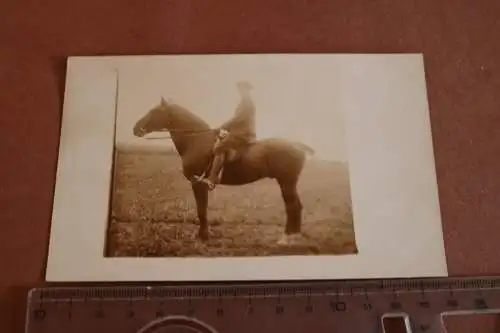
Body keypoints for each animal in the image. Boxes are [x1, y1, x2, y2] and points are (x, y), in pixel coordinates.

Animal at [131, 97, 314, 245]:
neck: (197, 141)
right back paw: (292, 237)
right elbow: (202, 210)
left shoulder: (198, 184)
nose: (135, 128)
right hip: (287, 183)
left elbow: (201, 210)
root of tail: (298, 145)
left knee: (293, 207)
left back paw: (287, 238)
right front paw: (203, 235)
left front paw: (203, 237)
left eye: (154, 111)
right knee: (294, 207)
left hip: (287, 182)